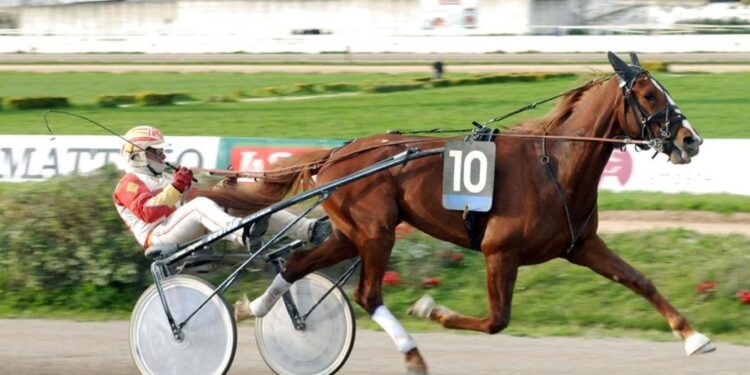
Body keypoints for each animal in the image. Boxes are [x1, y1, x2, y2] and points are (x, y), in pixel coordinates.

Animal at [203, 53, 712, 375]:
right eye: (649, 95)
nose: (691, 140)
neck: (555, 164)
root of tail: (337, 154)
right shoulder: (499, 251)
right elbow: (496, 320)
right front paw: (433, 308)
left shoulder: (581, 245)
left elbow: (640, 281)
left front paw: (693, 337)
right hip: (376, 232)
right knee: (368, 294)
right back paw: (411, 353)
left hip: (349, 233)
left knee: (294, 264)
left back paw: (253, 308)